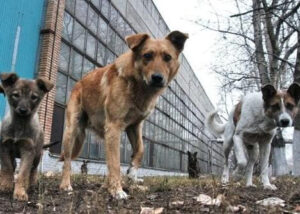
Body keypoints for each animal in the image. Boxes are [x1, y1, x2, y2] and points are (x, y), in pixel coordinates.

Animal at [0, 72, 53, 201]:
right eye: (16, 95)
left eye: (33, 97)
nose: (23, 110)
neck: (19, 124)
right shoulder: (5, 147)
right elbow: (7, 167)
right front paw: (6, 185)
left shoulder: (28, 150)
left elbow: (23, 173)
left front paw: (20, 192)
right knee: (13, 165)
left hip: (37, 155)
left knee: (33, 170)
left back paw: (32, 184)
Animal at [59, 30, 188, 200]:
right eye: (147, 55)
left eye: (167, 57)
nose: (157, 78)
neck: (138, 85)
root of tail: (79, 82)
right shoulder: (114, 126)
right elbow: (115, 163)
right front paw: (117, 190)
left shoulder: (134, 126)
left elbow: (140, 149)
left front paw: (132, 173)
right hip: (71, 130)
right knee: (67, 160)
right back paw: (66, 185)